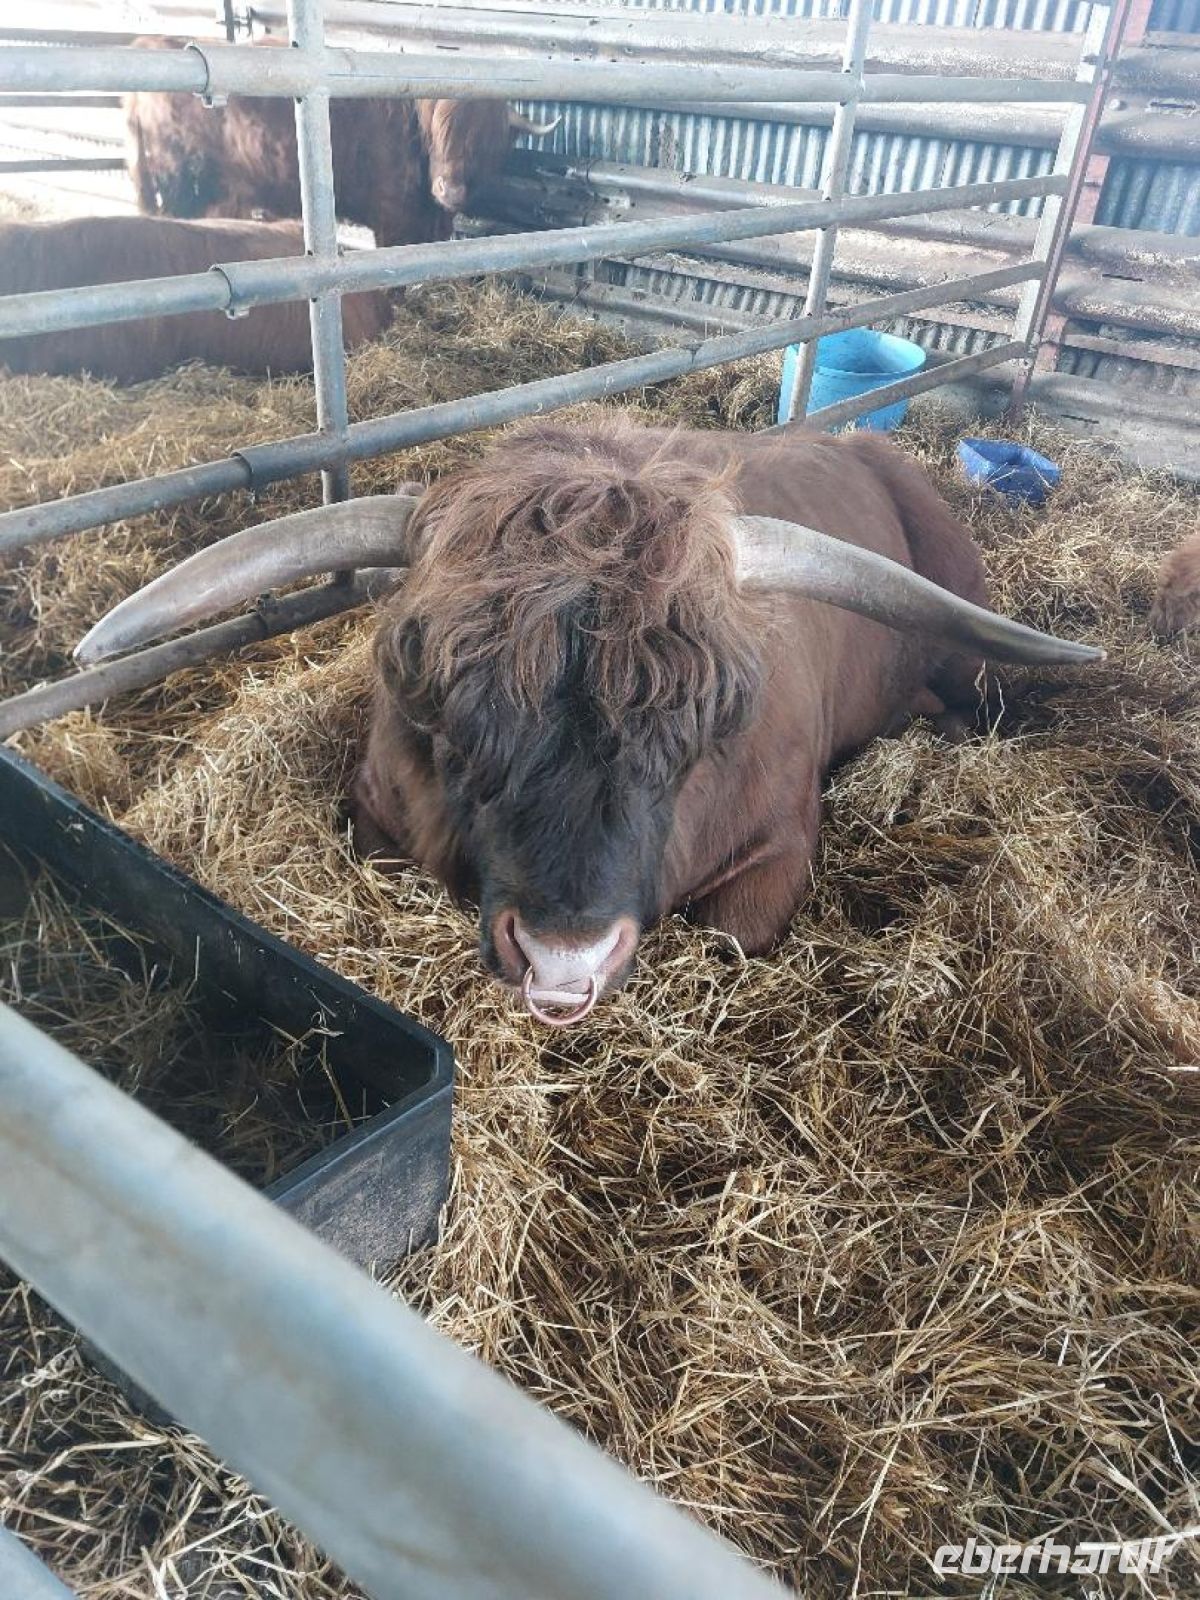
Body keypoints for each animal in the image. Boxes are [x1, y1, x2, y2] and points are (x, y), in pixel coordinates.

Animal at [76, 417, 1102, 1024]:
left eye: (700, 736)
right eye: (454, 726)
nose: (564, 961)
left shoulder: (779, 845)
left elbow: (735, 933)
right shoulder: (375, 801)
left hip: (971, 651)